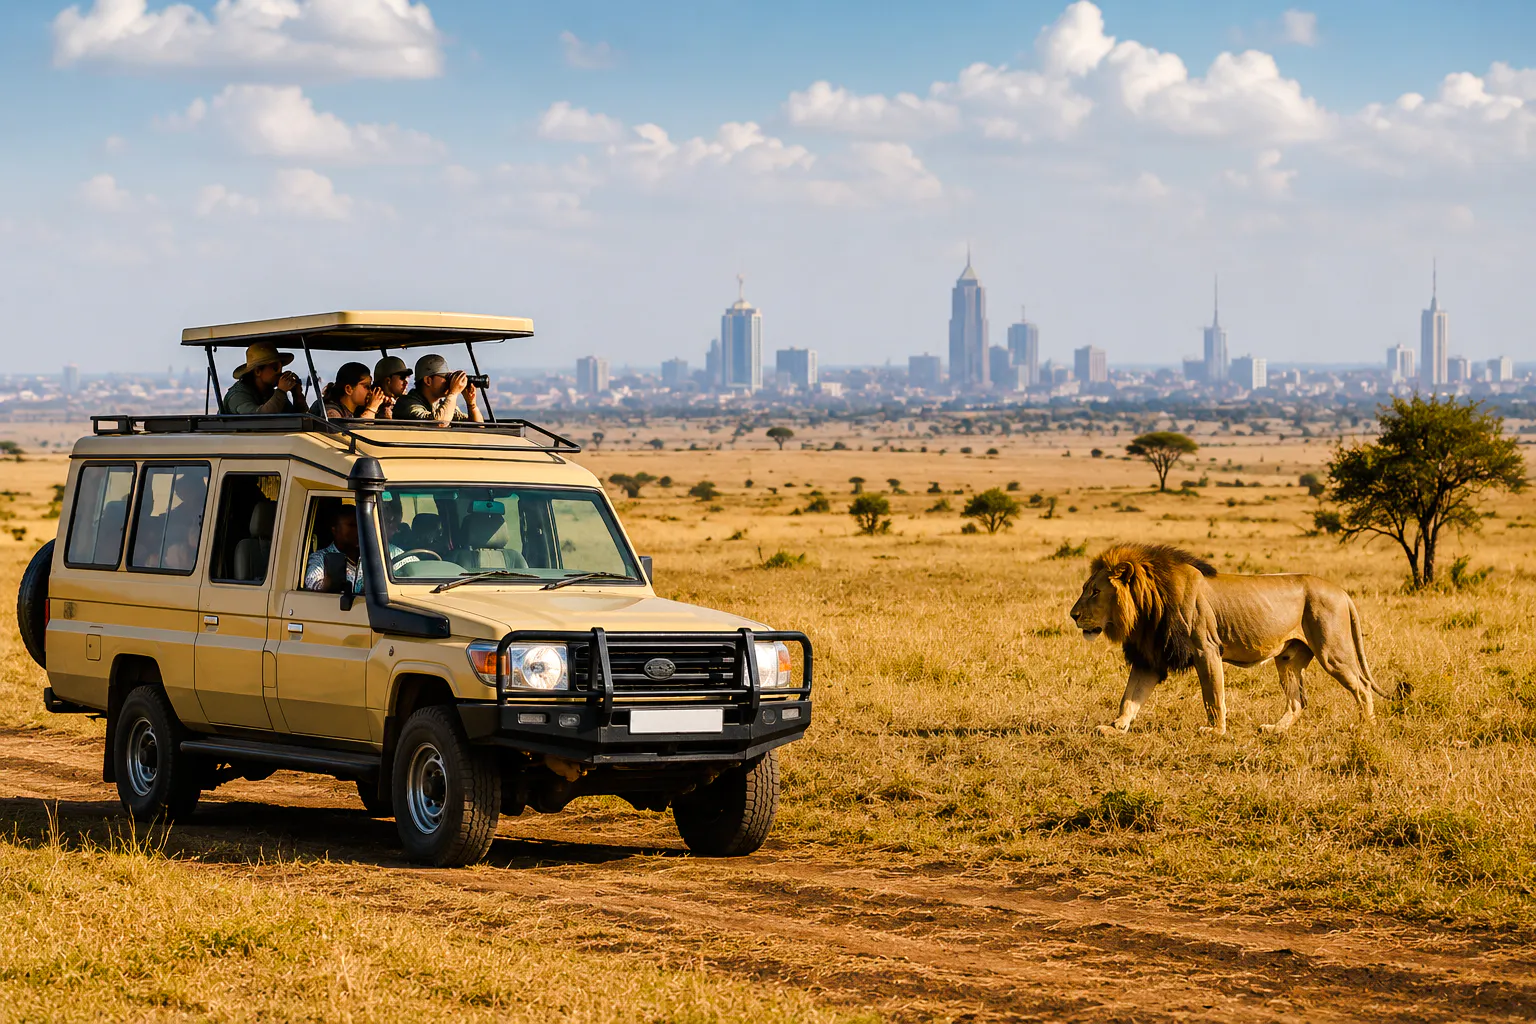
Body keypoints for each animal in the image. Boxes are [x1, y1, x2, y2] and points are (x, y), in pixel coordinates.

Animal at [1068, 543, 1391, 736]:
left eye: (1095, 591)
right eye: (1084, 588)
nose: (1072, 615)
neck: (1147, 608)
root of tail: (1342, 592)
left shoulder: (1206, 649)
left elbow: (1213, 695)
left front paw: (1215, 731)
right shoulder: (1151, 657)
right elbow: (1130, 697)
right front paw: (1116, 728)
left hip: (1331, 651)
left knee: (1362, 686)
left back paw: (1366, 728)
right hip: (1288, 658)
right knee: (1297, 701)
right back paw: (1275, 729)